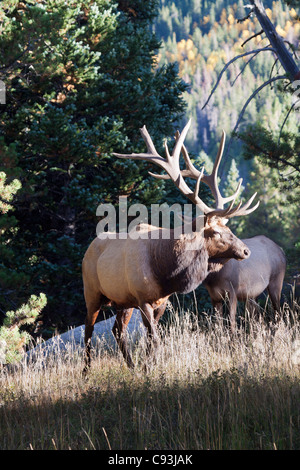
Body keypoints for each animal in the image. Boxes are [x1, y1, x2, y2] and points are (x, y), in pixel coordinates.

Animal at [82, 120, 260, 370]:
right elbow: (155, 339)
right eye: (216, 231)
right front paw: (148, 369)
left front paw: (147, 367)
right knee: (88, 332)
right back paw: (87, 371)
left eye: (229, 229)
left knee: (117, 330)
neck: (166, 271)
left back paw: (131, 367)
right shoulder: (142, 298)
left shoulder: (160, 301)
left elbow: (150, 340)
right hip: (92, 292)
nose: (245, 250)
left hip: (122, 301)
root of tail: (88, 249)